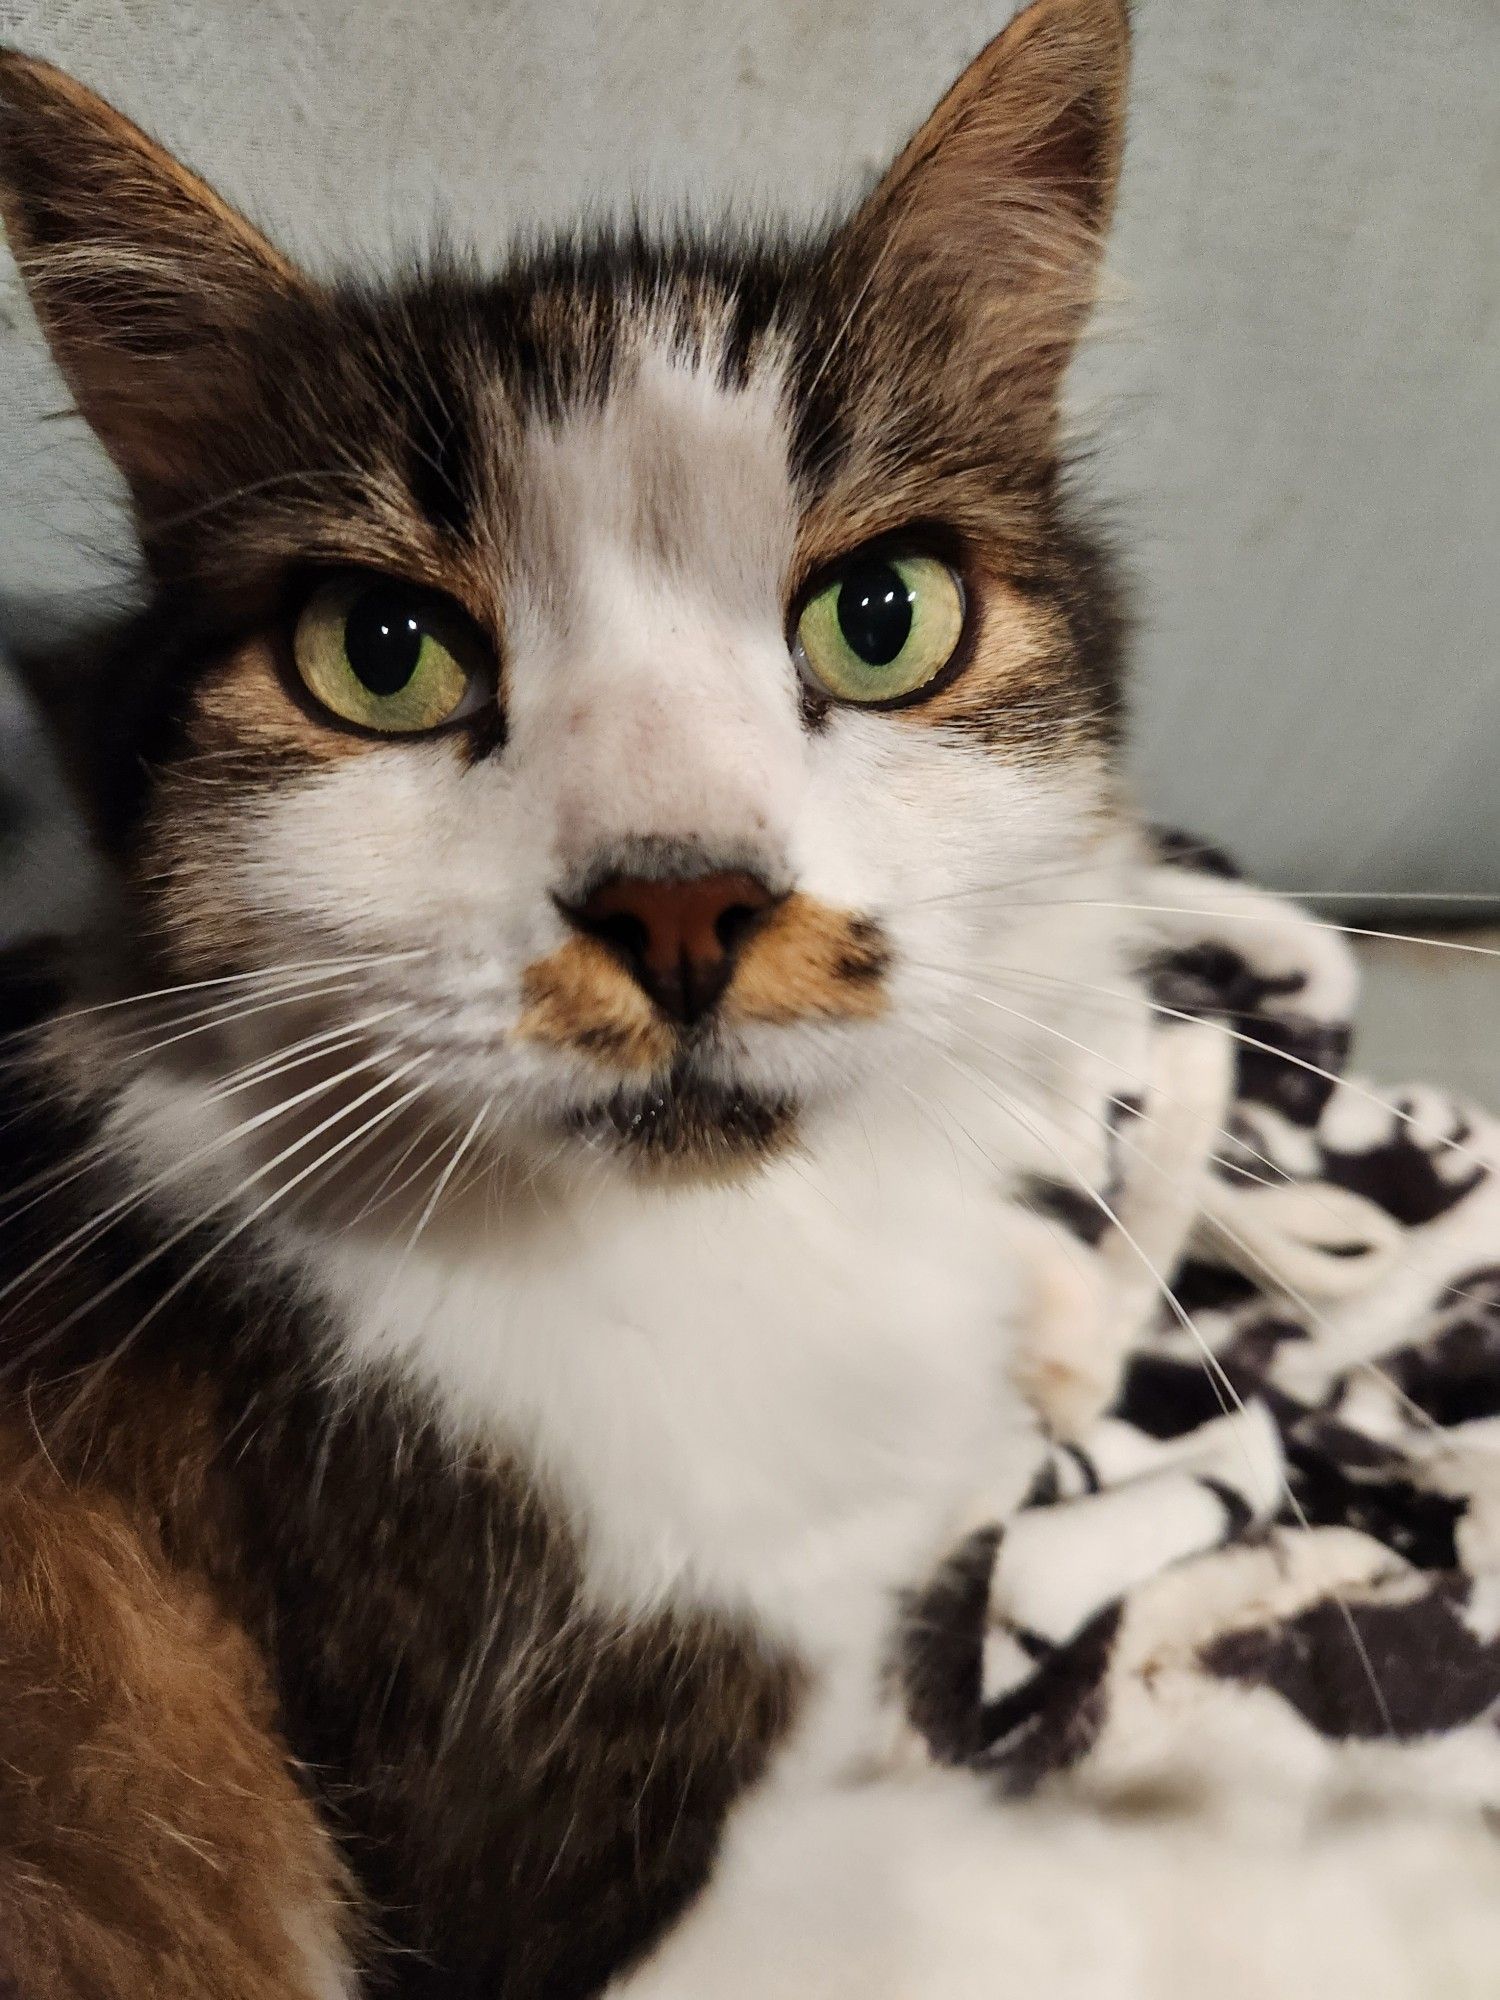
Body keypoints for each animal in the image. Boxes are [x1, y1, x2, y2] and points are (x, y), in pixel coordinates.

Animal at [0, 3, 1208, 2000]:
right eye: (380, 656)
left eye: (885, 615)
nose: (682, 896)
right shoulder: (534, 1849)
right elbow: (975, 1893)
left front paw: (1053, 1282)